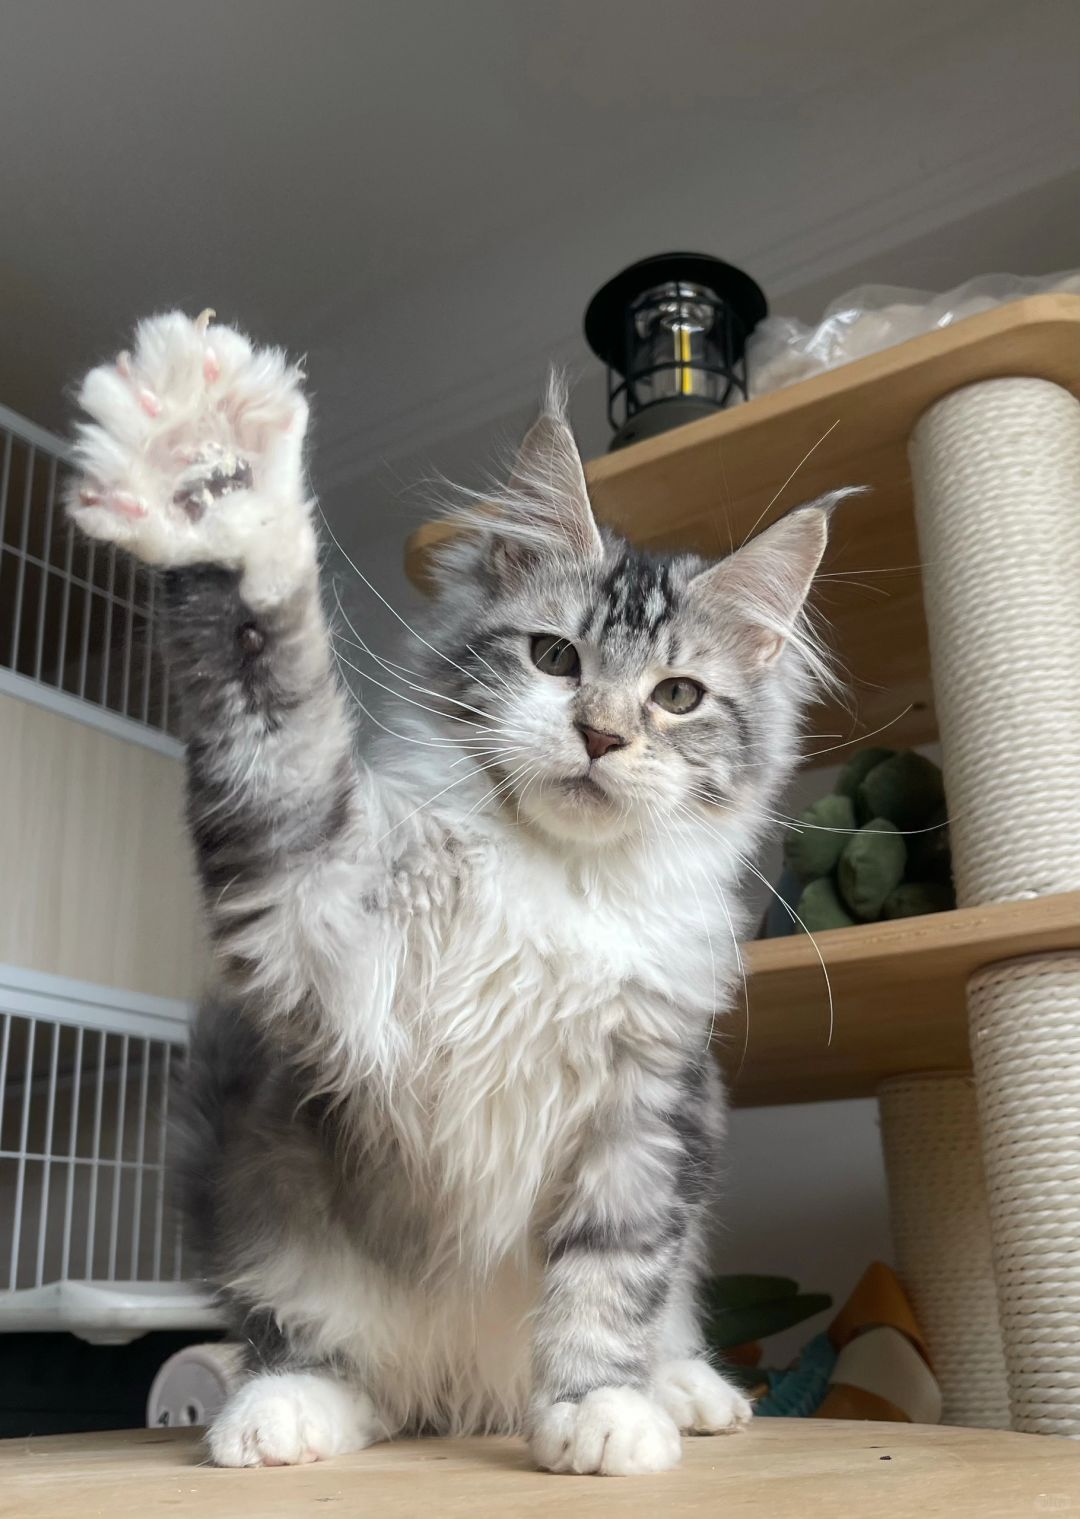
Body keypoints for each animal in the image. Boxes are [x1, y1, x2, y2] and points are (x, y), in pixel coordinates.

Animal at [68, 311, 841, 1475]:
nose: (601, 735)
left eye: (677, 695)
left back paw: (685, 1388)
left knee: (655, 1317)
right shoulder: (316, 914)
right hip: (248, 1172)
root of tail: (461, 1393)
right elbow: (270, 684)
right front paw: (217, 482)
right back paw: (285, 1409)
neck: (557, 882)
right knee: (324, 1353)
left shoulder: (650, 1106)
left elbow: (609, 1277)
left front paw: (597, 1410)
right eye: (554, 657)